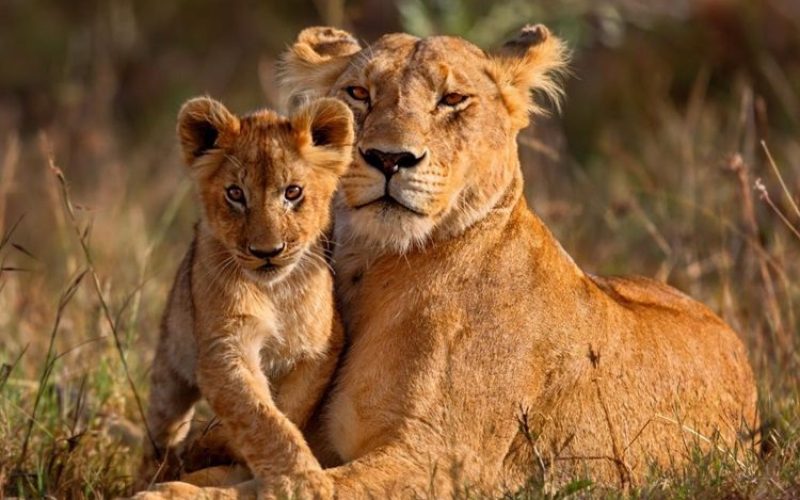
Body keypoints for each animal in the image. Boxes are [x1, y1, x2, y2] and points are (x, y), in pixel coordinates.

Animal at [135, 96, 353, 490]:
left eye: (293, 192)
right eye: (235, 194)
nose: (267, 251)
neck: (275, 291)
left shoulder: (321, 348)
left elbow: (288, 408)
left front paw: (217, 445)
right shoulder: (224, 348)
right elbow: (259, 416)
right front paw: (301, 481)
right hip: (169, 367)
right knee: (162, 428)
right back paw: (156, 470)